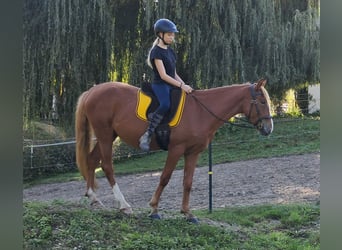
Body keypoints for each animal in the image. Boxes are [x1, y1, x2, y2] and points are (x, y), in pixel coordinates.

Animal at [75, 78, 272, 223]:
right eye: (262, 101)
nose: (269, 129)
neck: (200, 111)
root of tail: (92, 91)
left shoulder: (193, 153)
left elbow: (188, 182)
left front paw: (187, 213)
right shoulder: (176, 149)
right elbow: (165, 178)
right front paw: (154, 209)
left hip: (108, 136)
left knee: (92, 160)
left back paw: (94, 198)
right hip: (105, 135)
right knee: (107, 166)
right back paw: (124, 205)